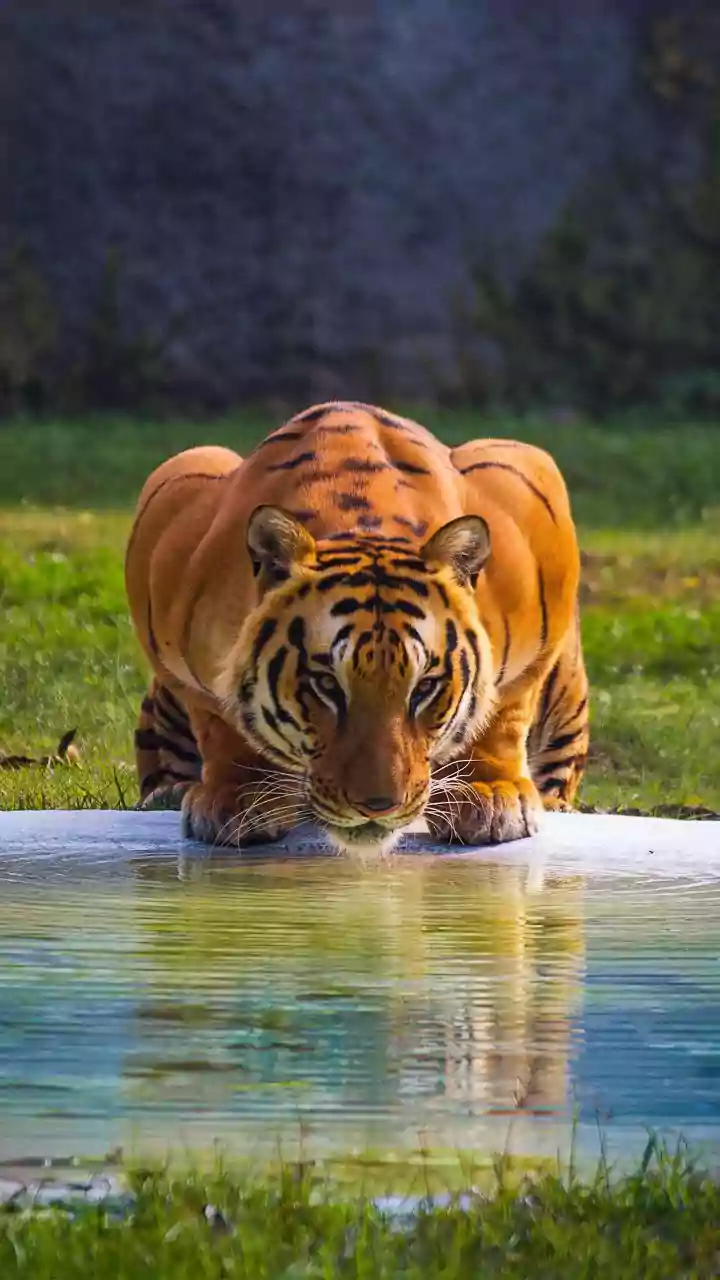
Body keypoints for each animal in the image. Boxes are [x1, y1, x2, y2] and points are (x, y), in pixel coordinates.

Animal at [125, 402, 588, 854]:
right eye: (326, 685)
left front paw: (491, 796)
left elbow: (505, 710)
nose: (378, 807)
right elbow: (217, 717)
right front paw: (237, 797)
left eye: (425, 687)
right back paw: (169, 793)